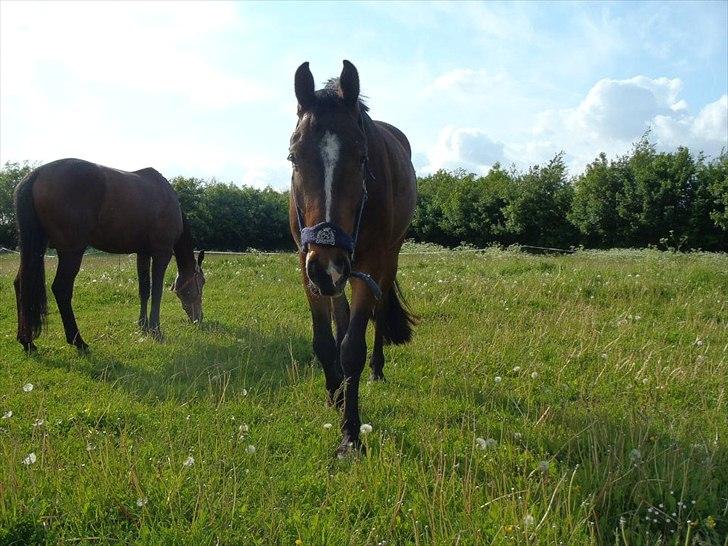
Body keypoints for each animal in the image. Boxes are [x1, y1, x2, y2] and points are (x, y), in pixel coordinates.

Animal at [12, 157, 205, 352]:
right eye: (202, 282)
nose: (199, 319)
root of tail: (37, 173)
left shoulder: (143, 253)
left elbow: (144, 290)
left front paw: (143, 326)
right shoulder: (161, 253)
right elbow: (157, 292)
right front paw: (155, 330)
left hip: (35, 250)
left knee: (21, 284)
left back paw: (27, 341)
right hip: (71, 252)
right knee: (61, 289)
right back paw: (78, 341)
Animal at [288, 60, 418, 454]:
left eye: (362, 157)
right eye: (293, 156)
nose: (327, 262)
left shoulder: (367, 267)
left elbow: (352, 349)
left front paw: (350, 435)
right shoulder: (307, 265)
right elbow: (324, 341)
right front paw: (336, 396)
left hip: (384, 260)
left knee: (378, 310)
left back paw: (377, 368)